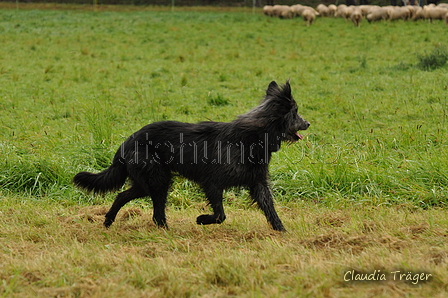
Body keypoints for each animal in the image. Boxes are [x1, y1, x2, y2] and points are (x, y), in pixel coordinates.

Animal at [74, 80, 312, 232]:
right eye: (295, 113)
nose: (308, 123)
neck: (253, 136)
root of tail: (126, 143)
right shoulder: (212, 184)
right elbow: (220, 215)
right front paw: (201, 220)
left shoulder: (258, 183)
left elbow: (270, 208)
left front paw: (282, 230)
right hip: (156, 181)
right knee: (141, 205)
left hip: (153, 183)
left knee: (129, 200)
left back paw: (115, 222)